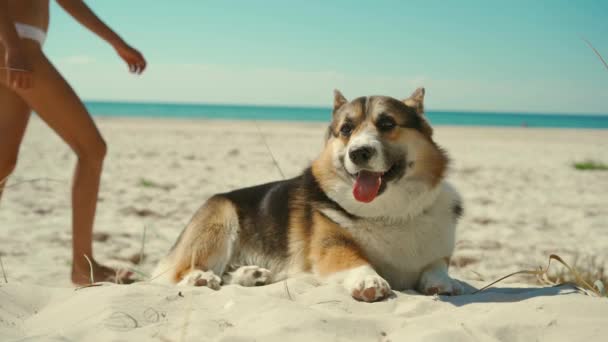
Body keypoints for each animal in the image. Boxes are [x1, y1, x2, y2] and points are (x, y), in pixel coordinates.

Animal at [151, 87, 460, 302]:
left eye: (387, 124)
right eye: (346, 129)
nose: (358, 153)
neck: (388, 212)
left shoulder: (438, 253)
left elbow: (437, 267)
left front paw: (447, 283)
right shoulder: (331, 247)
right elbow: (356, 260)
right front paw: (369, 282)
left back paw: (251, 274)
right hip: (221, 218)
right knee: (181, 272)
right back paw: (202, 279)